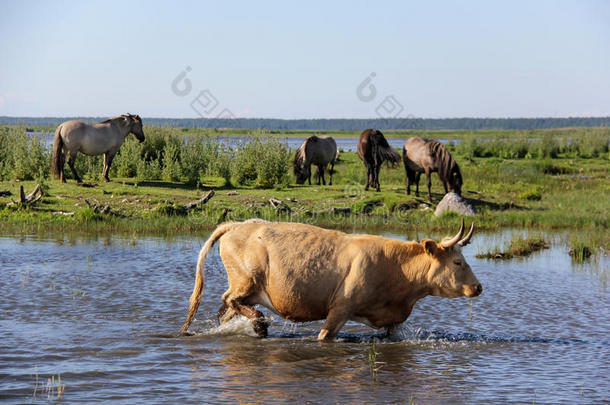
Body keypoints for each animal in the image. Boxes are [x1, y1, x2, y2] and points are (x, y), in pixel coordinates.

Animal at [179, 219, 480, 340]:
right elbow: (324, 336)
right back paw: (260, 325)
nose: (478, 287)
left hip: (248, 291)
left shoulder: (391, 320)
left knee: (226, 310)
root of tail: (237, 224)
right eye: (457, 262)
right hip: (245, 281)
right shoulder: (340, 308)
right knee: (228, 299)